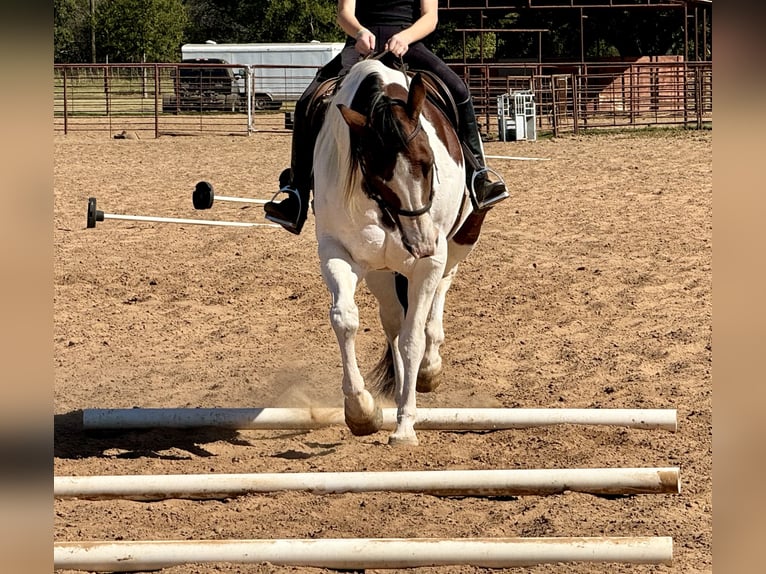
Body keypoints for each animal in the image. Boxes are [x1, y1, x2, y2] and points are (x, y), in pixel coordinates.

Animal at [316, 57, 496, 446]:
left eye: (428, 162)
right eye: (375, 176)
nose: (421, 243)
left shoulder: (430, 263)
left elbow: (414, 337)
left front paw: (404, 427)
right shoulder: (338, 252)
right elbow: (346, 319)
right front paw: (362, 410)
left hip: (458, 243)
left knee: (437, 298)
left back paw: (429, 370)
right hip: (381, 270)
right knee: (393, 321)